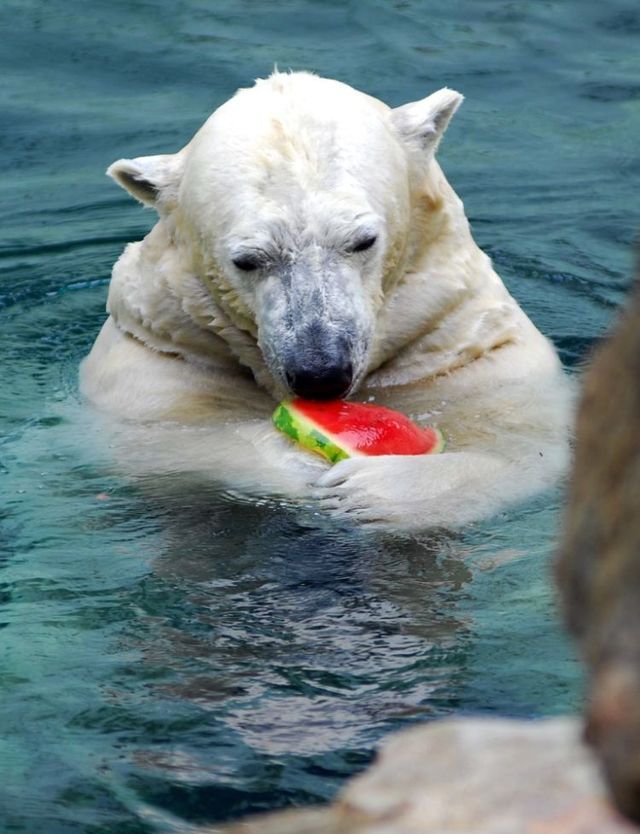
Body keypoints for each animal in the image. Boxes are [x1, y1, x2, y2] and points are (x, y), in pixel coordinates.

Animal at [80, 71, 573, 529]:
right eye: (247, 260)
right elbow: (162, 441)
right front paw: (295, 459)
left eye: (363, 240)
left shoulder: (460, 341)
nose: (320, 373)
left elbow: (522, 444)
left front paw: (376, 487)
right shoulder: (163, 347)